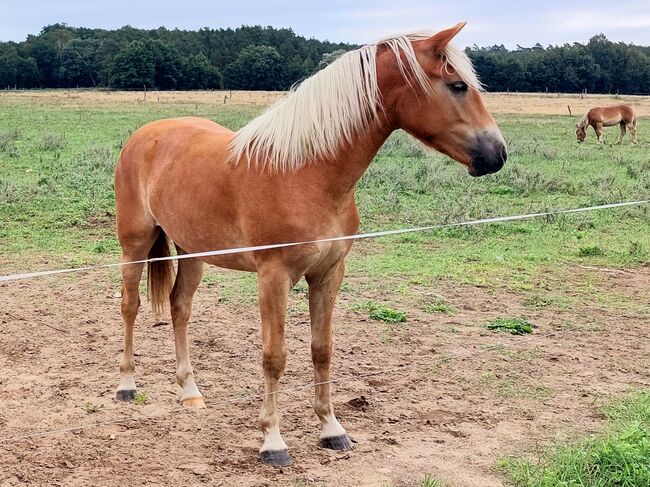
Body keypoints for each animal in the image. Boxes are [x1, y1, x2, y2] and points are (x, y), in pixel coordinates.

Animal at [112, 21, 506, 468]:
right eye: (457, 85)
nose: (497, 154)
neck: (305, 173)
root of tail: (146, 134)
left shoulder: (329, 274)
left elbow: (322, 349)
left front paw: (332, 429)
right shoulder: (274, 276)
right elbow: (274, 356)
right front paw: (273, 441)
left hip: (193, 250)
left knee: (180, 307)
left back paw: (190, 392)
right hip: (135, 243)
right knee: (130, 305)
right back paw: (126, 385)